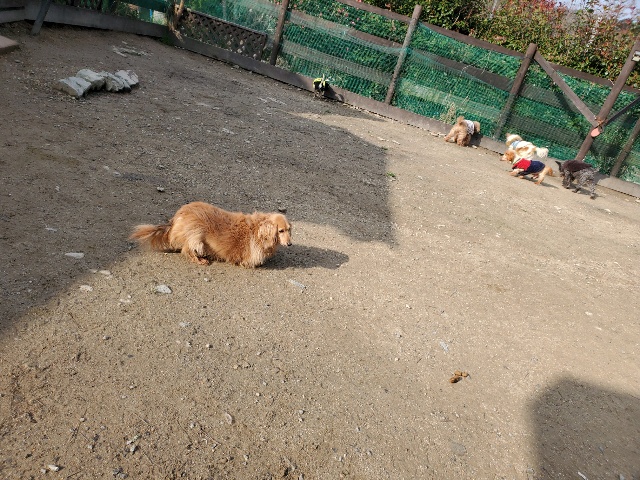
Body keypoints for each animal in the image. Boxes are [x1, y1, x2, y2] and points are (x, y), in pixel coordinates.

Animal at [129, 202, 292, 267]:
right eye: (281, 231)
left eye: (289, 229)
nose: (290, 244)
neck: (258, 230)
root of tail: (176, 219)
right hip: (197, 235)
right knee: (187, 249)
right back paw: (200, 260)